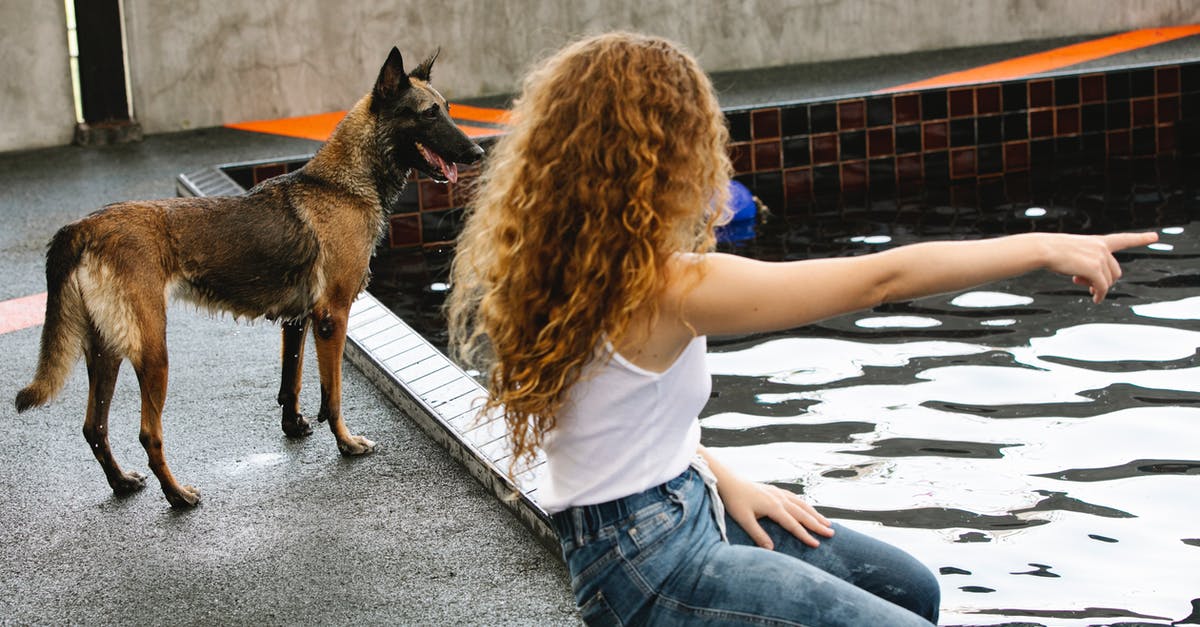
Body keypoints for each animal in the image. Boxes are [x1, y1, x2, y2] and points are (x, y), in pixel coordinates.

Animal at [14, 48, 482, 506]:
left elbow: (291, 381)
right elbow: (332, 395)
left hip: (106, 351)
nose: (478, 153)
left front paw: (294, 426)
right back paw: (177, 494)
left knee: (94, 427)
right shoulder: (332, 318)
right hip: (153, 353)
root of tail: (84, 226)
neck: (343, 183)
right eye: (429, 114)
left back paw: (121, 482)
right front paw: (346, 443)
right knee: (148, 434)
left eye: (448, 109)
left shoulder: (298, 320)